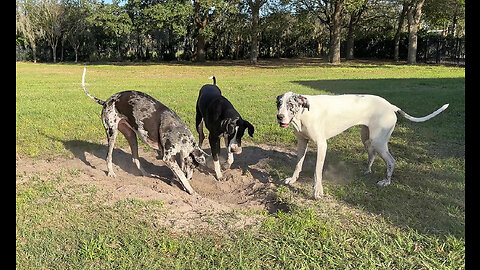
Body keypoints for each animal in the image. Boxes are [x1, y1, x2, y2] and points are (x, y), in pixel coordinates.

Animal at [276, 92, 448, 199]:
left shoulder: (322, 146)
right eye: (278, 104)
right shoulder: (301, 143)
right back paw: (367, 170)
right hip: (367, 139)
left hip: (379, 141)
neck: (304, 114)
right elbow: (298, 164)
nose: (279, 117)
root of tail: (391, 106)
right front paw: (292, 179)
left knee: (391, 161)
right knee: (372, 155)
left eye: (291, 104)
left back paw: (386, 181)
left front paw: (317, 191)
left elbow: (317, 172)